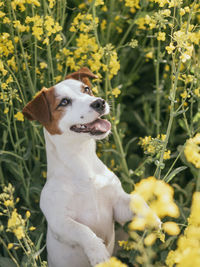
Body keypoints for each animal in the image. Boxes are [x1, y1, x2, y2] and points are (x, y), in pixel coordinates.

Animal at [22, 68, 159, 267]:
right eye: (64, 102)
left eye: (86, 89)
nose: (99, 102)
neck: (83, 165)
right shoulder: (60, 222)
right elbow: (82, 230)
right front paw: (97, 252)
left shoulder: (118, 207)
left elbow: (137, 200)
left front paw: (151, 216)